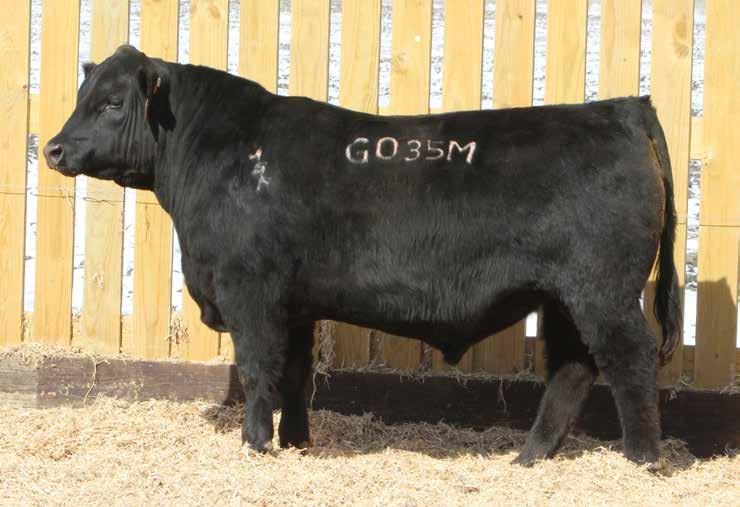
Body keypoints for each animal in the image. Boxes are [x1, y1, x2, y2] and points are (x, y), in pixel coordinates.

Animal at [44, 45, 681, 466]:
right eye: (82, 96)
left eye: (112, 103)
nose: (52, 149)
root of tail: (620, 108)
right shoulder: (297, 303)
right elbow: (295, 373)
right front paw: (297, 443)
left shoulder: (251, 293)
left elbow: (258, 368)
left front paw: (256, 444)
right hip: (564, 298)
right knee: (573, 368)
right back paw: (530, 457)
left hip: (601, 289)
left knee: (629, 359)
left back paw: (642, 459)